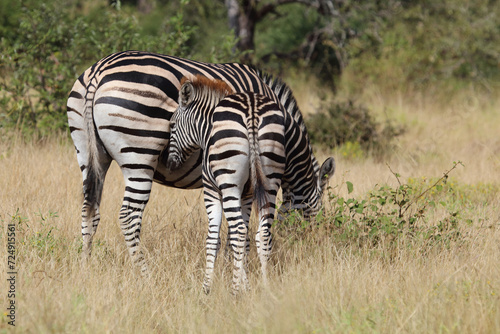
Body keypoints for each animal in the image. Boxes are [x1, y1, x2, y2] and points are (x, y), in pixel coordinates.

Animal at [67, 50, 314, 274]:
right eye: (314, 213)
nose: (308, 244)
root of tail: (99, 71)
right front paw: (234, 267)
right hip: (139, 154)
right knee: (129, 216)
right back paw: (145, 275)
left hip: (87, 151)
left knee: (89, 210)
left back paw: (85, 267)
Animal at [168, 75, 336, 292]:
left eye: (171, 125)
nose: (170, 164)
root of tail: (252, 111)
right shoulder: (247, 196)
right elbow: (243, 241)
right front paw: (246, 285)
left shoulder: (212, 191)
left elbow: (215, 240)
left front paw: (208, 288)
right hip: (270, 180)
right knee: (262, 234)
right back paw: (265, 287)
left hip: (230, 182)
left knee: (240, 231)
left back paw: (234, 292)